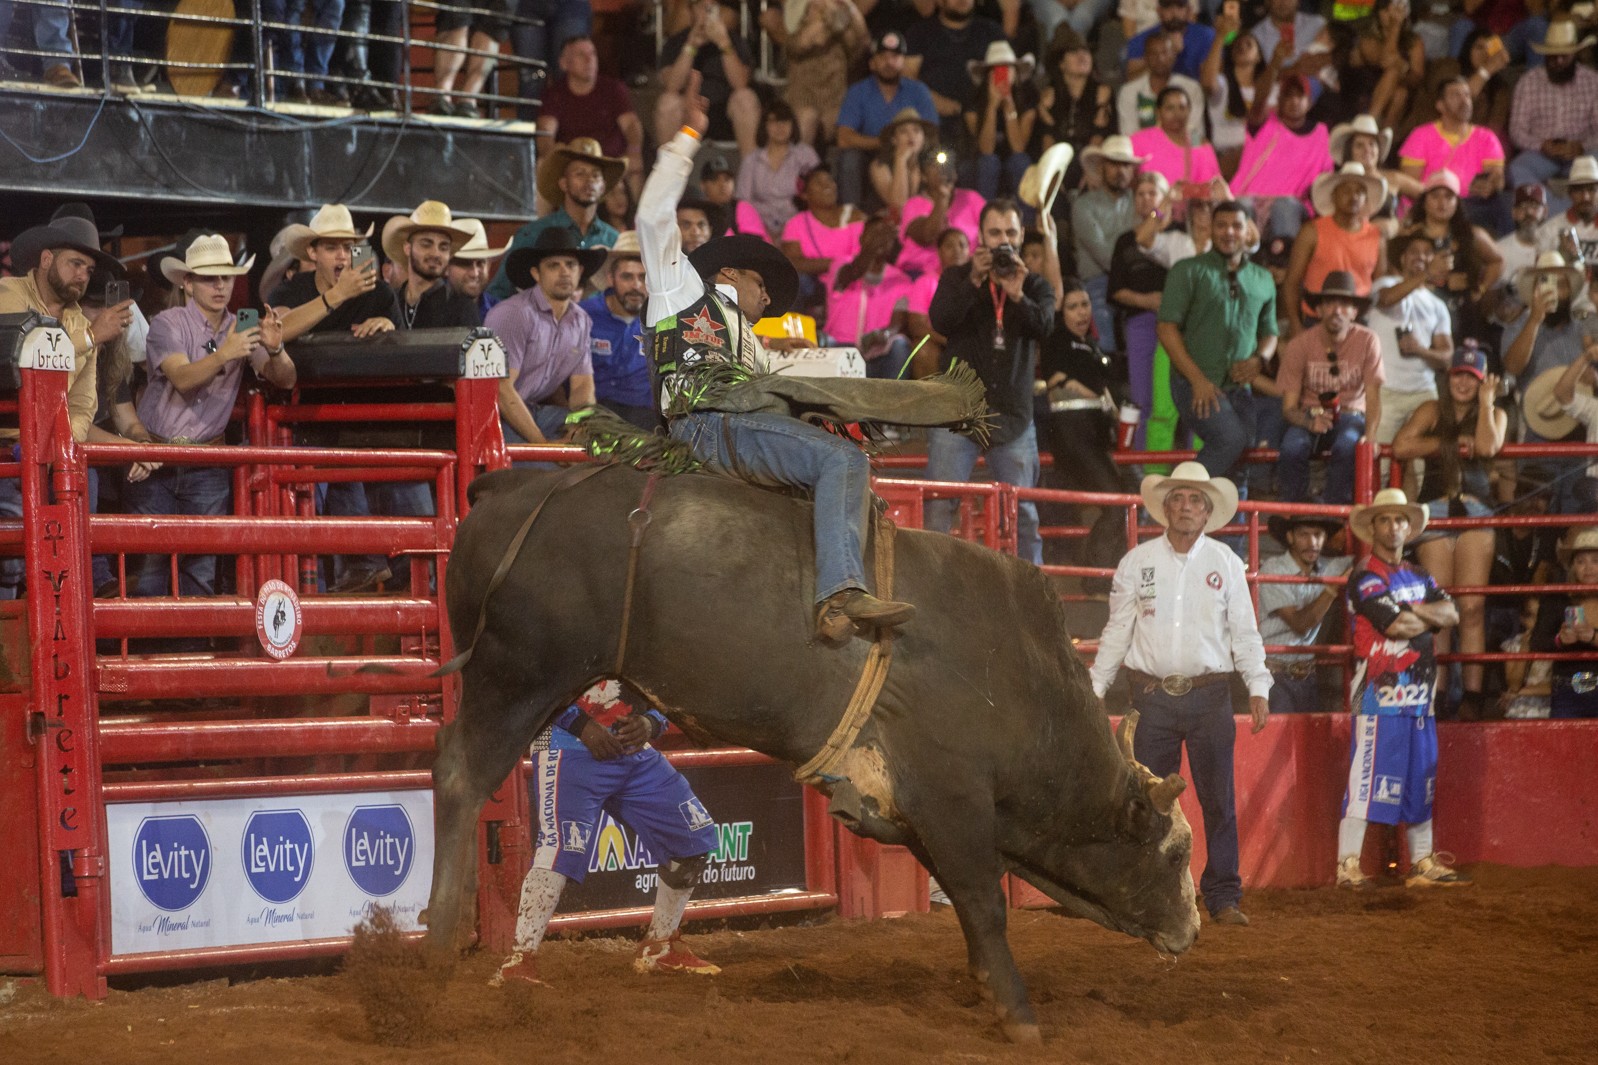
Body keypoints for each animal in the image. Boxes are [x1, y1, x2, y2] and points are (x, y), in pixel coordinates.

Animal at [425, 463, 1201, 1036]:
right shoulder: (951, 798)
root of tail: (514, 487)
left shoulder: (908, 810)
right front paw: (1019, 1013)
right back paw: (434, 946)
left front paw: (988, 988)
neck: (1019, 682)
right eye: (1175, 854)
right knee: (459, 775)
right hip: (517, 671)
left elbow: (967, 903)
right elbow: (984, 902)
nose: (1192, 930)